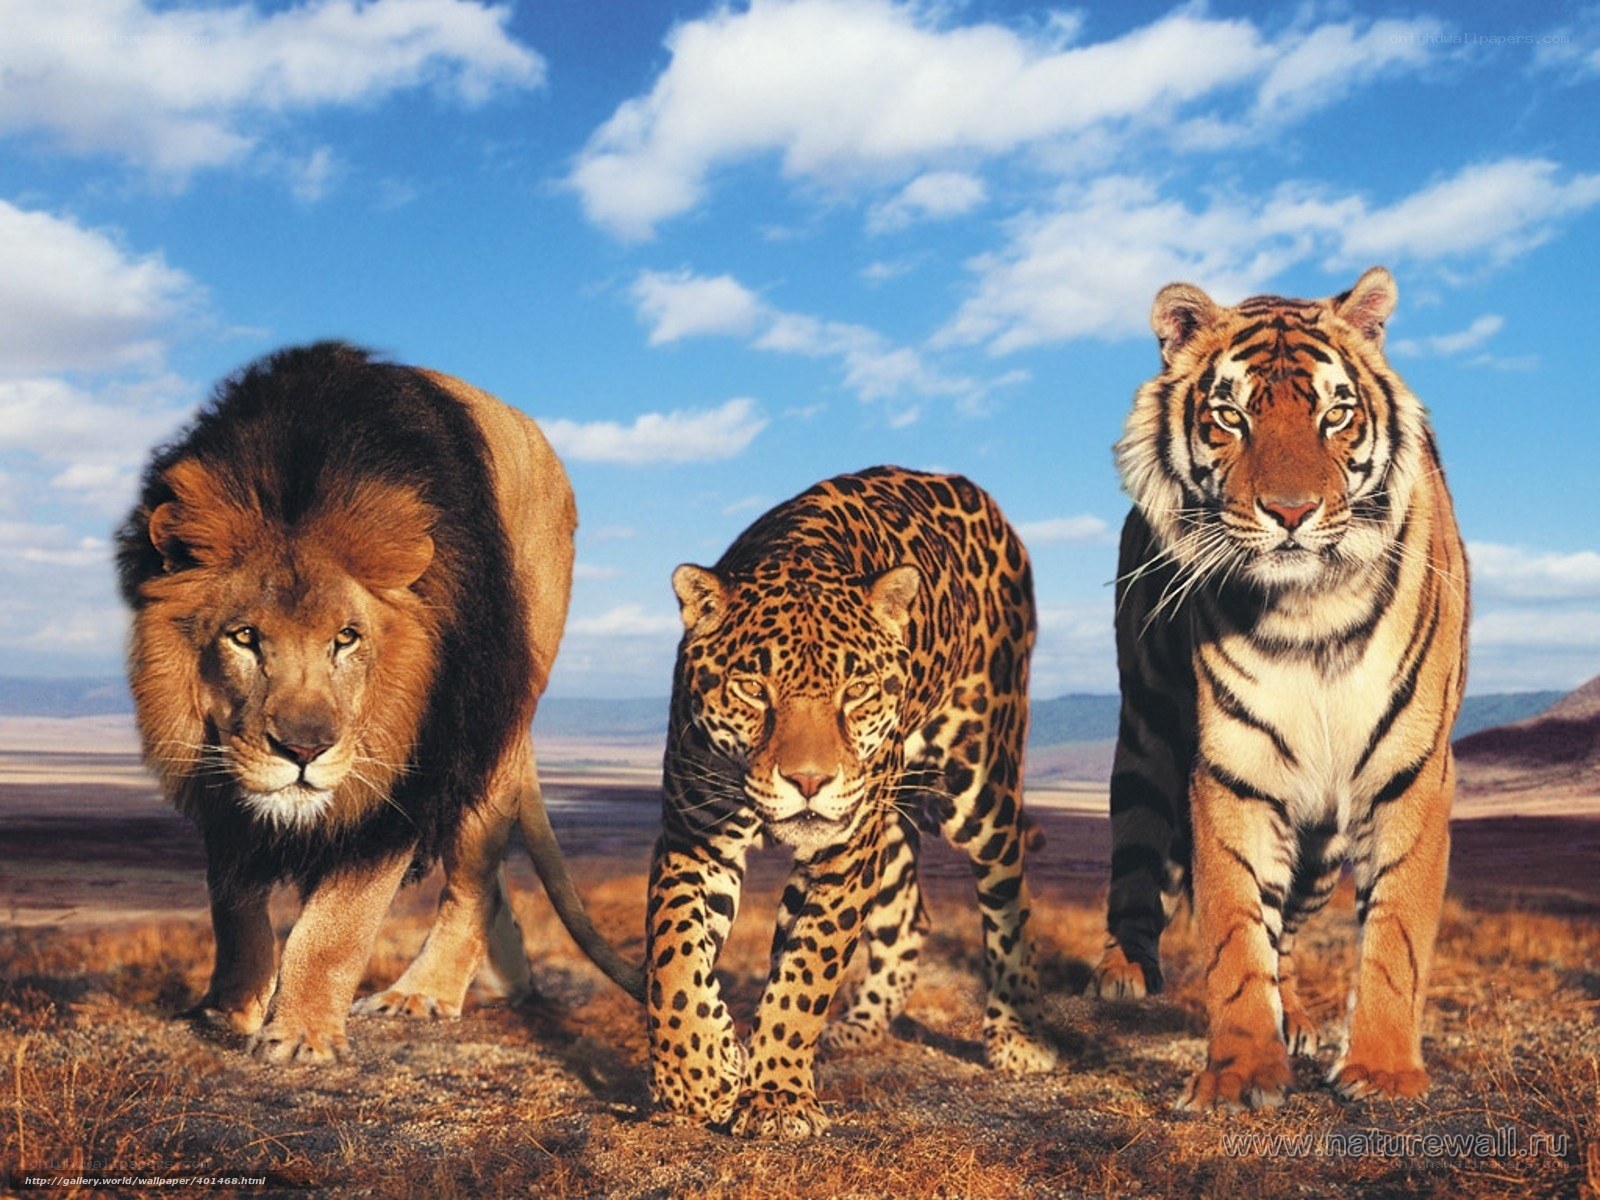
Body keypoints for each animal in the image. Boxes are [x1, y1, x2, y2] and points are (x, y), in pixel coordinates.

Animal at [116, 342, 643, 1064]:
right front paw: (231, 1009)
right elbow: (234, 906)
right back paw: (507, 982)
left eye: (347, 638)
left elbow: (336, 925)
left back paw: (422, 993)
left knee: (473, 880)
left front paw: (301, 1036)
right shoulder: (223, 770)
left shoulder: (406, 771)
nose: (304, 750)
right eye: (244, 637)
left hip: (501, 716)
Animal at [646, 466, 1057, 1140]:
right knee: (908, 915)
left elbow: (805, 972)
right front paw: (699, 1071)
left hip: (978, 783)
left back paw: (1017, 1035)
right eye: (753, 688)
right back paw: (858, 1028)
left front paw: (776, 1097)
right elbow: (674, 953)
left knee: (1008, 896)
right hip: (887, 821)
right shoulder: (693, 837)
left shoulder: (842, 854)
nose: (809, 781)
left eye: (856, 689)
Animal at [1088, 267, 1469, 1111]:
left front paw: (1383, 1070)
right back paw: (1122, 973)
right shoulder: (1233, 768)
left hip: (1323, 840)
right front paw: (1239, 1075)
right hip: (1145, 737)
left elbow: (1395, 930)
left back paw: (1293, 1014)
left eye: (1336, 414)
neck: (1311, 612)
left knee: (1289, 926)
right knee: (1138, 853)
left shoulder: (1412, 771)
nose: (1291, 513)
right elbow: (1235, 928)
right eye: (1231, 416)